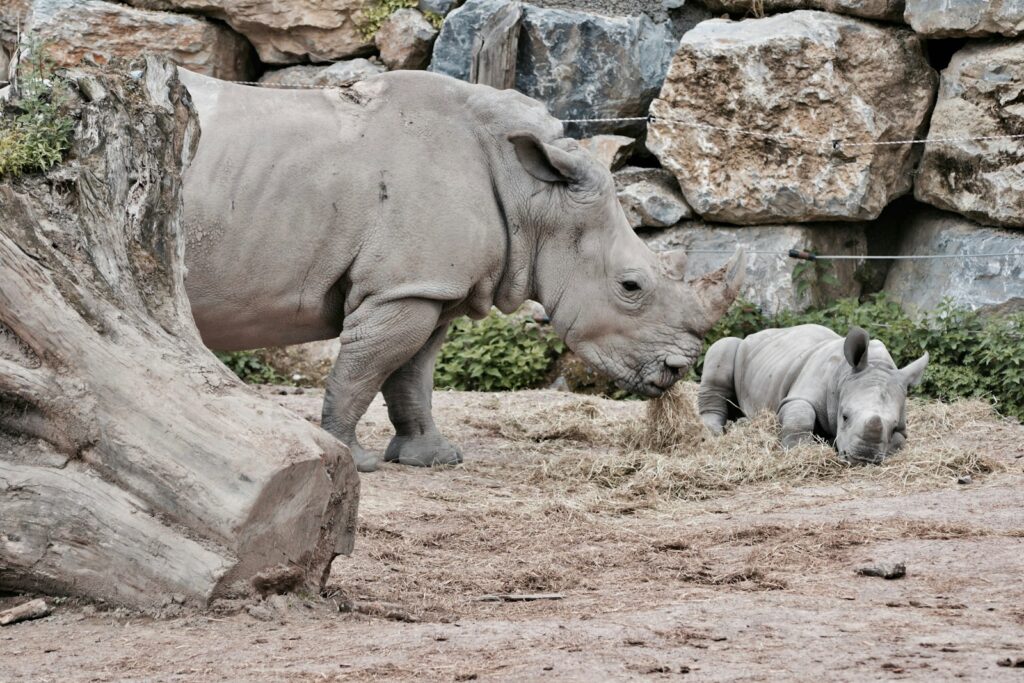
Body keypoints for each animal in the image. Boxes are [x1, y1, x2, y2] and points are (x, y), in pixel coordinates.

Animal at [176, 69, 745, 473]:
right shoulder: (401, 288)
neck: (534, 195)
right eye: (631, 286)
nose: (676, 371)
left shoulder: (430, 289)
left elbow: (412, 375)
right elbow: (363, 372)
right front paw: (349, 460)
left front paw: (431, 458)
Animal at [699, 325, 929, 463]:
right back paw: (712, 433)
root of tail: (754, 334)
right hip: (740, 347)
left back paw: (744, 424)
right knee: (724, 347)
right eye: (845, 417)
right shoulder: (801, 392)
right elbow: (801, 414)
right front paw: (799, 450)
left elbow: (899, 441)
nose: (862, 459)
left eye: (893, 427)